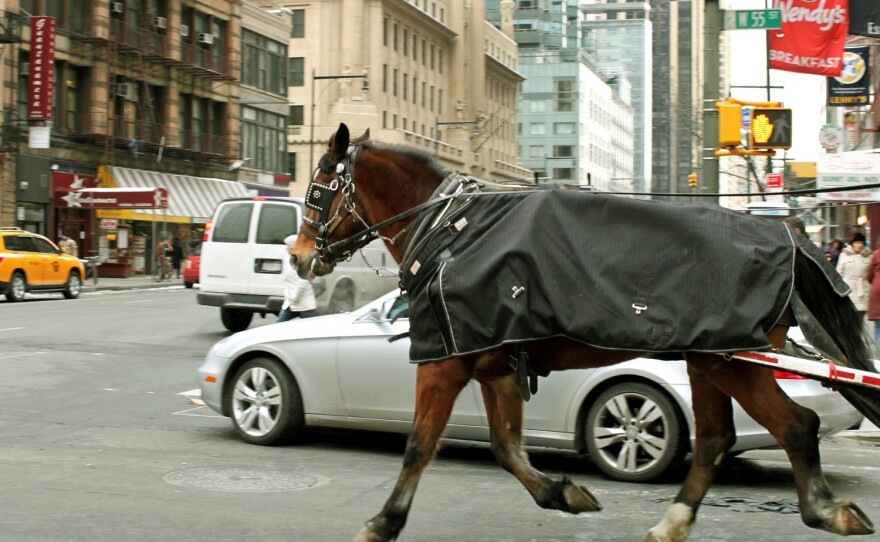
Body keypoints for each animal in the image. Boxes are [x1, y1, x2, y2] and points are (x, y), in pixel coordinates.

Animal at [292, 124, 876, 542]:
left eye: (318, 192)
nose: (297, 258)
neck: (449, 231)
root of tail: (790, 239)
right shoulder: (495, 364)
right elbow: (507, 447)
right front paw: (562, 493)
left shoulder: (445, 361)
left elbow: (419, 445)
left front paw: (382, 524)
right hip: (709, 359)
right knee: (715, 440)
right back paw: (673, 524)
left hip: (732, 361)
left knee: (796, 425)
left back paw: (824, 510)